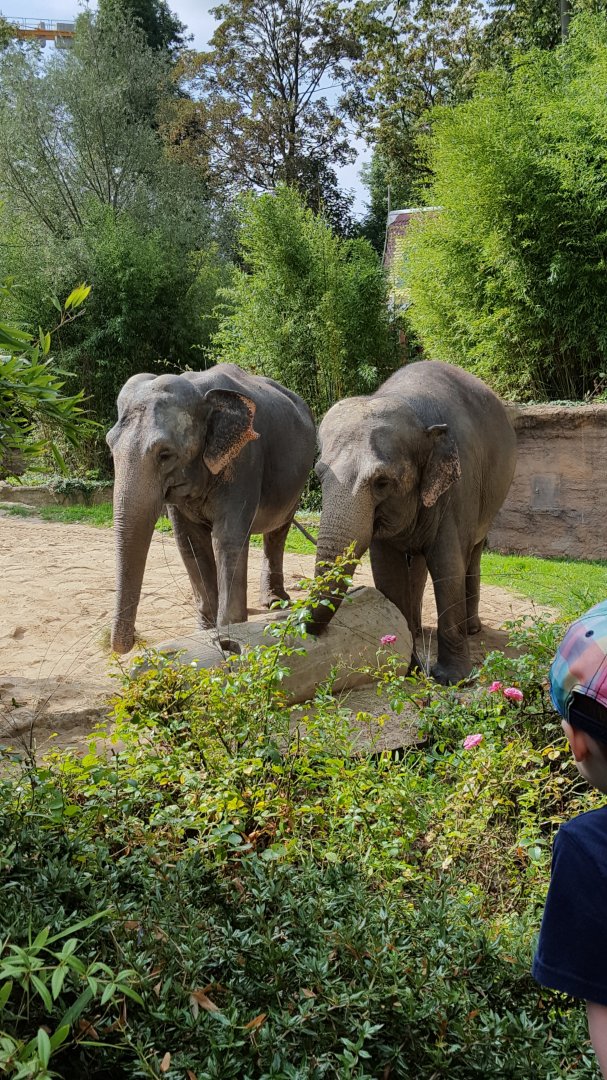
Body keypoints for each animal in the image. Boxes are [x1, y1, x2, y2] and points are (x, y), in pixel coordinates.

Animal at [106, 363, 316, 654]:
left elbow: (226, 538)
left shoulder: (245, 460)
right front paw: (206, 631)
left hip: (298, 480)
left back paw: (275, 603)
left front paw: (230, 632)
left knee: (278, 531)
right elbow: (190, 544)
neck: (198, 390)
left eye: (165, 454)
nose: (135, 639)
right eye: (110, 446)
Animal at [308, 360, 517, 684]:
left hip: (492, 499)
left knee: (472, 553)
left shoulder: (459, 488)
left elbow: (448, 566)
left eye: (381, 482)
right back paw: (417, 631)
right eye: (318, 475)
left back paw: (472, 630)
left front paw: (451, 678)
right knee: (418, 564)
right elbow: (388, 573)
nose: (309, 631)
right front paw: (409, 669)